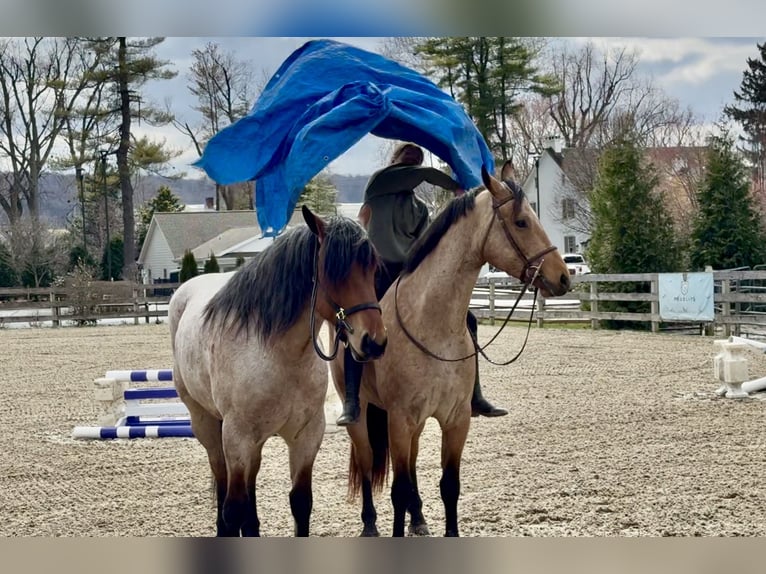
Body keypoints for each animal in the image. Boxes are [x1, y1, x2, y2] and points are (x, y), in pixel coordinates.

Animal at [168, 206, 388, 537]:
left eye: (373, 268)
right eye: (333, 271)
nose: (373, 342)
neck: (281, 356)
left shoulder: (306, 437)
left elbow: (300, 503)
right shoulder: (237, 437)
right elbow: (233, 509)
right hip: (207, 425)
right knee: (222, 482)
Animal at [329, 164, 571, 537]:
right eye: (521, 222)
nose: (562, 277)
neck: (433, 323)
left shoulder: (455, 420)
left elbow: (448, 486)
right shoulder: (400, 419)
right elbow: (398, 489)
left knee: (411, 466)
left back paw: (418, 520)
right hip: (364, 417)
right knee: (368, 463)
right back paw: (369, 524)